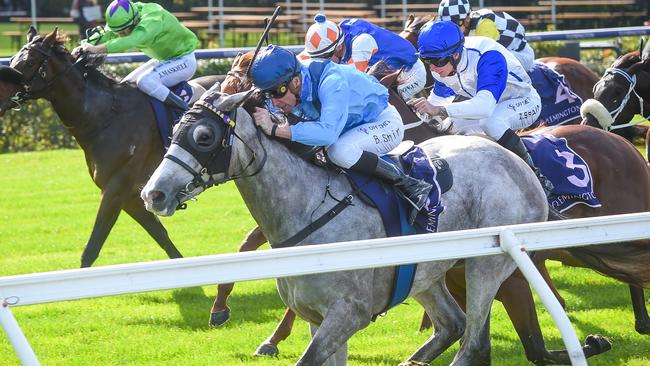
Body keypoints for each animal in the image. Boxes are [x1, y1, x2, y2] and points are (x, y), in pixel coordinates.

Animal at [0, 28, 220, 268]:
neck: (105, 116)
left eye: (30, 62)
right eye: (13, 59)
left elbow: (92, 248)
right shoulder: (132, 196)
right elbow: (162, 236)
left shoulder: (115, 190)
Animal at [142, 88, 548, 366]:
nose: (153, 193)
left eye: (204, 136)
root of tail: (520, 163)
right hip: (425, 275)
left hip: (486, 265)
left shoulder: (348, 313)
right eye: (174, 130)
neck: (308, 211)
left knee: (474, 342)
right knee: (453, 324)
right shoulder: (316, 317)